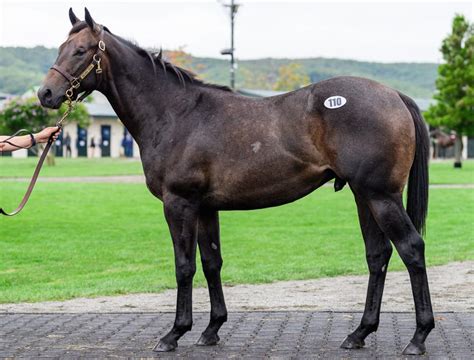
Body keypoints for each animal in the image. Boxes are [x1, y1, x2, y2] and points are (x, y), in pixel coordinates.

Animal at [38, 7, 434, 354]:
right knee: (378, 255)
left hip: (380, 196)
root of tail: (394, 95)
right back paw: (359, 333)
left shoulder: (179, 203)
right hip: (363, 196)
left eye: (81, 50)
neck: (177, 113)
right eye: (60, 47)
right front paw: (211, 329)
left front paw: (174, 334)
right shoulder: (205, 208)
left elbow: (184, 266)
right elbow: (212, 262)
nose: (46, 94)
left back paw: (418, 337)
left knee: (411, 248)